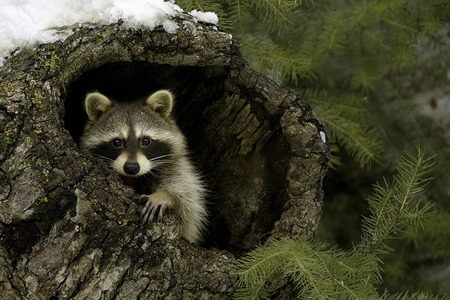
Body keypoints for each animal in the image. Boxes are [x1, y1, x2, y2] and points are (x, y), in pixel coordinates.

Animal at [80, 89, 207, 244]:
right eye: (117, 142)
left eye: (146, 141)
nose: (131, 167)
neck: (134, 177)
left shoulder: (177, 166)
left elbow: (189, 203)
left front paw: (166, 195)